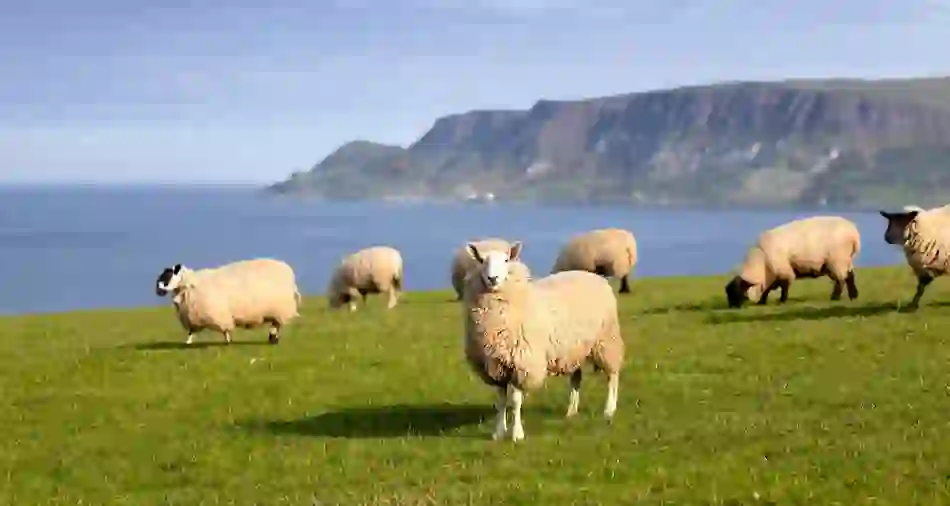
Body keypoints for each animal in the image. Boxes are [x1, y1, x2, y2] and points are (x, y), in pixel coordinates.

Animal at [154, 258, 301, 345]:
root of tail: (289, 271)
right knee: (276, 324)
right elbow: (191, 331)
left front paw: (228, 341)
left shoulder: (218, 314)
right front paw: (187, 342)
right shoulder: (194, 316)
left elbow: (225, 329)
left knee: (276, 325)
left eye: (168, 275)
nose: (158, 291)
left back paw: (273, 338)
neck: (190, 284)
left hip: (280, 308)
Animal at [462, 240, 625, 442]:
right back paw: (571, 411)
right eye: (481, 260)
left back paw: (609, 409)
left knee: (612, 375)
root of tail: (594, 276)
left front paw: (517, 434)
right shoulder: (495, 365)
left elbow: (515, 400)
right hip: (573, 349)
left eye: (507, 259)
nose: (493, 278)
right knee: (576, 378)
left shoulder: (522, 362)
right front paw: (498, 432)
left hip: (606, 339)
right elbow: (500, 401)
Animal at [724, 216, 861, 308]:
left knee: (841, 279)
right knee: (850, 275)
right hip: (844, 259)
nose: (732, 307)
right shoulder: (773, 274)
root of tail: (854, 233)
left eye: (740, 291)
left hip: (837, 260)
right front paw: (762, 302)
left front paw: (782, 301)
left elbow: (784, 286)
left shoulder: (784, 271)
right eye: (728, 293)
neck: (761, 264)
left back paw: (835, 297)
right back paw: (853, 296)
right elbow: (768, 288)